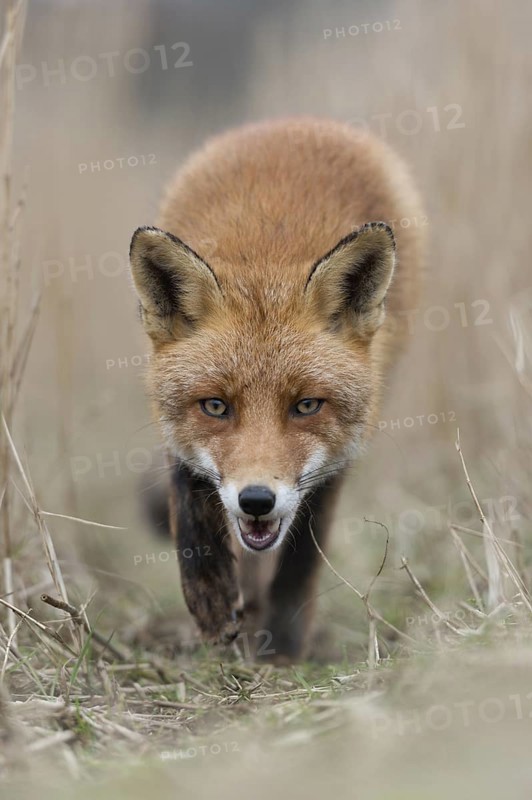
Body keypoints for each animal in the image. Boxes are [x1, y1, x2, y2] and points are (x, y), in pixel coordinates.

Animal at [129, 117, 424, 662]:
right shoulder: (175, 432)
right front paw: (210, 600)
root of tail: (303, 123)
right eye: (215, 406)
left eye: (306, 405)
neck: (266, 257)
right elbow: (189, 504)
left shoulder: (337, 461)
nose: (256, 500)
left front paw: (283, 647)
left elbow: (302, 556)